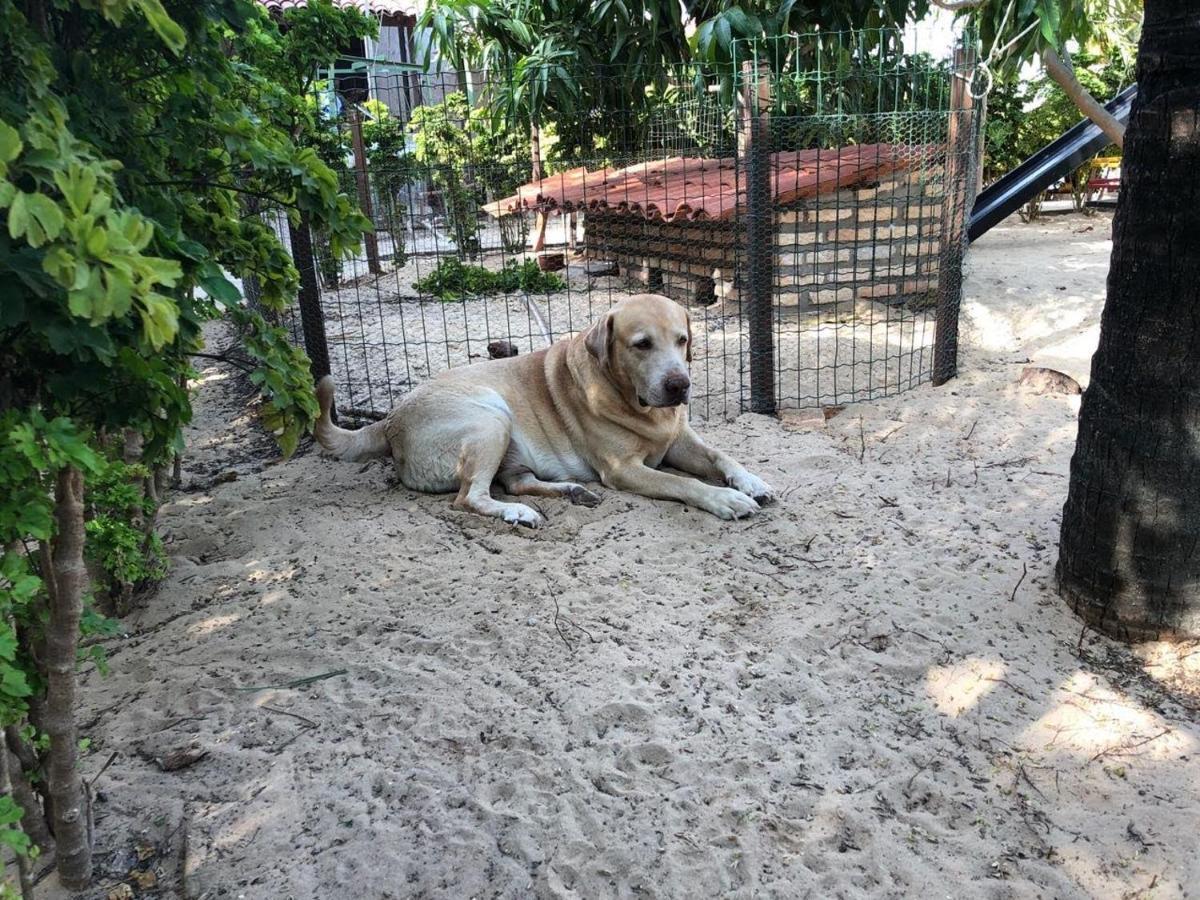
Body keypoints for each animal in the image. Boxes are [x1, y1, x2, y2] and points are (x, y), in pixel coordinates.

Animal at [314, 292, 772, 525]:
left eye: (682, 340)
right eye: (642, 344)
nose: (680, 385)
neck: (636, 404)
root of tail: (389, 420)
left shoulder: (679, 440)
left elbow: (720, 455)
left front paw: (751, 481)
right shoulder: (624, 470)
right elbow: (685, 484)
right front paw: (726, 500)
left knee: (514, 482)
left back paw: (570, 492)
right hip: (491, 417)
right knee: (469, 497)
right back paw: (518, 512)